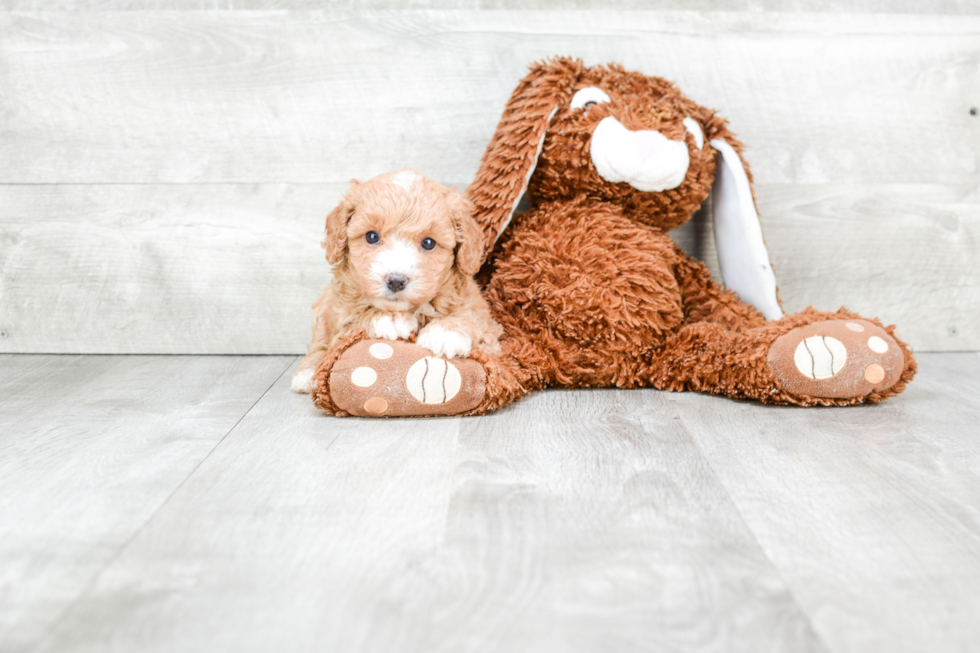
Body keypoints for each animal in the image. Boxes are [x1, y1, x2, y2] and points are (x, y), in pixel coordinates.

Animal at [290, 168, 502, 392]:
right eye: (371, 236)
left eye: (428, 243)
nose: (396, 281)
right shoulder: (341, 312)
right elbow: (354, 317)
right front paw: (388, 318)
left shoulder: (480, 311)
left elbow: (473, 316)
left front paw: (445, 332)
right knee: (318, 342)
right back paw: (306, 375)